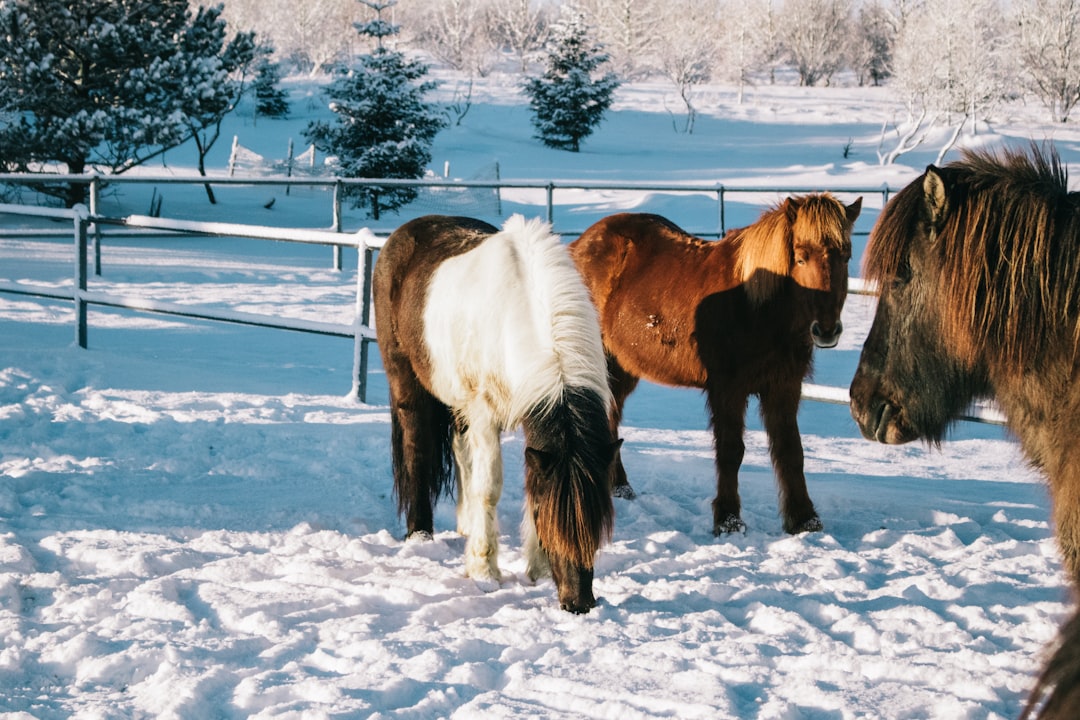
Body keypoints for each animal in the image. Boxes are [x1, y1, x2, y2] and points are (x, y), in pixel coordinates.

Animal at [375, 213, 622, 613]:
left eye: (599, 520)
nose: (578, 603)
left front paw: (536, 568)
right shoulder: (485, 414)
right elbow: (488, 489)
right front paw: (484, 570)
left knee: (461, 452)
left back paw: (465, 525)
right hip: (407, 385)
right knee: (418, 451)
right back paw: (420, 534)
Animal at [574, 195, 859, 535]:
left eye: (846, 256)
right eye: (801, 258)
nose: (826, 330)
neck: (755, 306)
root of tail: (580, 244)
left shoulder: (784, 387)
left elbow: (791, 451)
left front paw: (804, 519)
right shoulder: (728, 389)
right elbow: (731, 451)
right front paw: (728, 519)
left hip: (622, 367)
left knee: (611, 414)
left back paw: (619, 485)